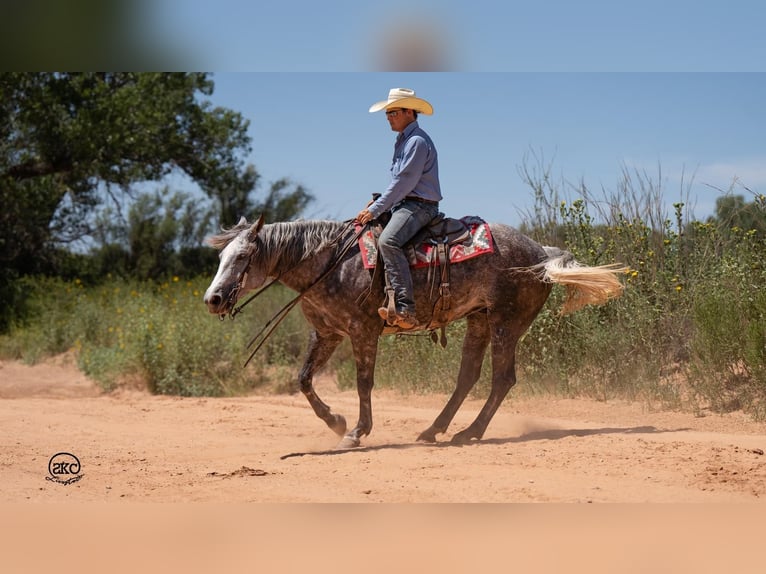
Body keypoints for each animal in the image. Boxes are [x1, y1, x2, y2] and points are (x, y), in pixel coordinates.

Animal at [206, 216, 632, 450]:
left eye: (242, 257)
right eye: (221, 257)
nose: (213, 299)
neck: (331, 263)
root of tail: (542, 253)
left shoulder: (363, 331)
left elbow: (363, 383)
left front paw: (356, 431)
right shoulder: (326, 334)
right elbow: (304, 380)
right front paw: (336, 421)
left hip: (506, 323)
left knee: (502, 379)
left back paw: (469, 432)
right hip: (479, 320)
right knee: (468, 377)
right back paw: (434, 429)